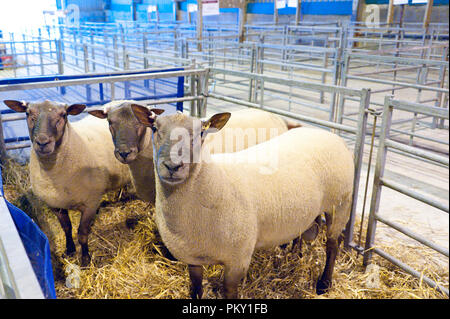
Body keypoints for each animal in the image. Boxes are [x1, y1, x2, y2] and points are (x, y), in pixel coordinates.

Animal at [2, 100, 130, 268]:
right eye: (28, 113)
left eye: (63, 115)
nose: (42, 142)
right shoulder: (56, 205)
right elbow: (67, 228)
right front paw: (69, 250)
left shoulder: (90, 203)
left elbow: (82, 233)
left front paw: (85, 260)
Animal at [130, 105, 356, 300]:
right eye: (155, 128)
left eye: (201, 133)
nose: (172, 166)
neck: (211, 182)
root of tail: (329, 133)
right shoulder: (192, 257)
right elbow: (195, 288)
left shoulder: (237, 259)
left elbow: (230, 291)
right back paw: (295, 254)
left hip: (341, 202)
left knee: (333, 243)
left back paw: (324, 284)